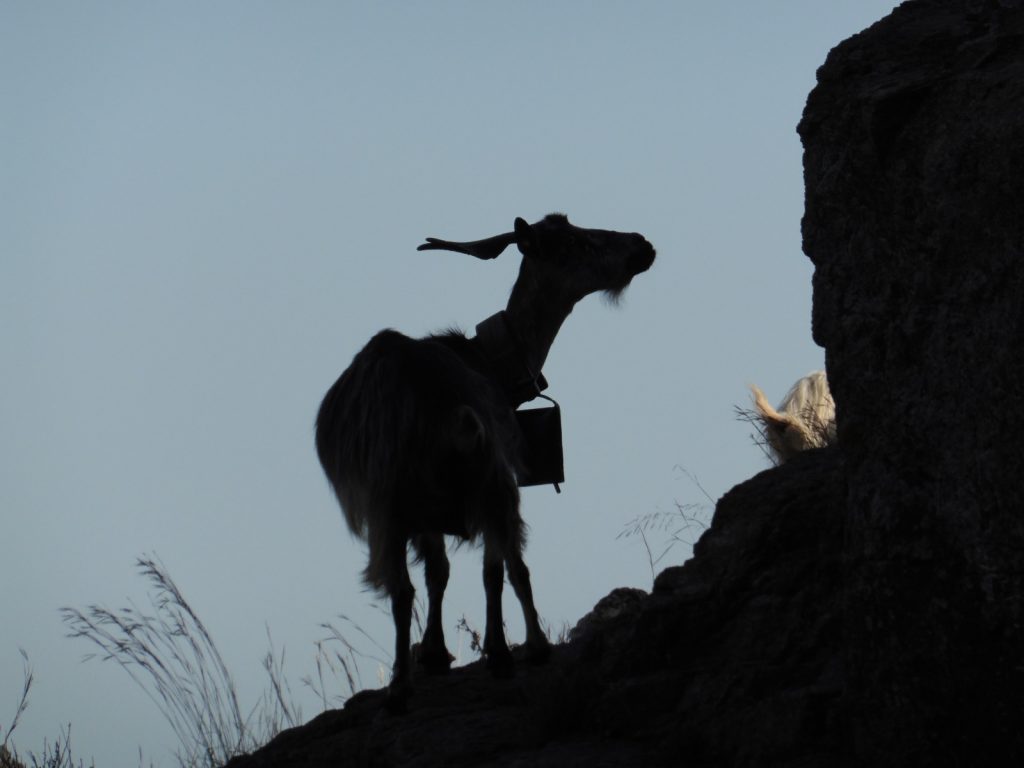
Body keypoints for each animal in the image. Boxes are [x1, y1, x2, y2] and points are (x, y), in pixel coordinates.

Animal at [313, 214, 655, 712]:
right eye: (573, 240)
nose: (642, 246)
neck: (492, 364)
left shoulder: (428, 511)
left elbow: (439, 572)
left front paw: (435, 654)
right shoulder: (493, 480)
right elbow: (502, 567)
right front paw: (509, 649)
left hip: (393, 502)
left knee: (405, 587)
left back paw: (400, 685)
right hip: (475, 482)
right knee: (500, 566)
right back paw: (515, 650)